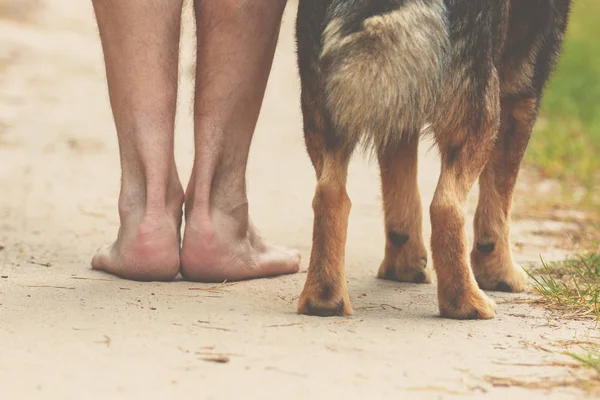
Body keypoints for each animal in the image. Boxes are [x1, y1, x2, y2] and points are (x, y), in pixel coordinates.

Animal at [296, 0, 572, 318]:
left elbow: (401, 195)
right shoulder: (522, 91)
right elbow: (498, 208)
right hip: (480, 114)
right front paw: (500, 274)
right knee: (446, 206)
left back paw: (323, 298)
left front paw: (403, 265)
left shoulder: (400, 107)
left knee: (329, 194)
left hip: (324, 112)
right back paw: (465, 302)